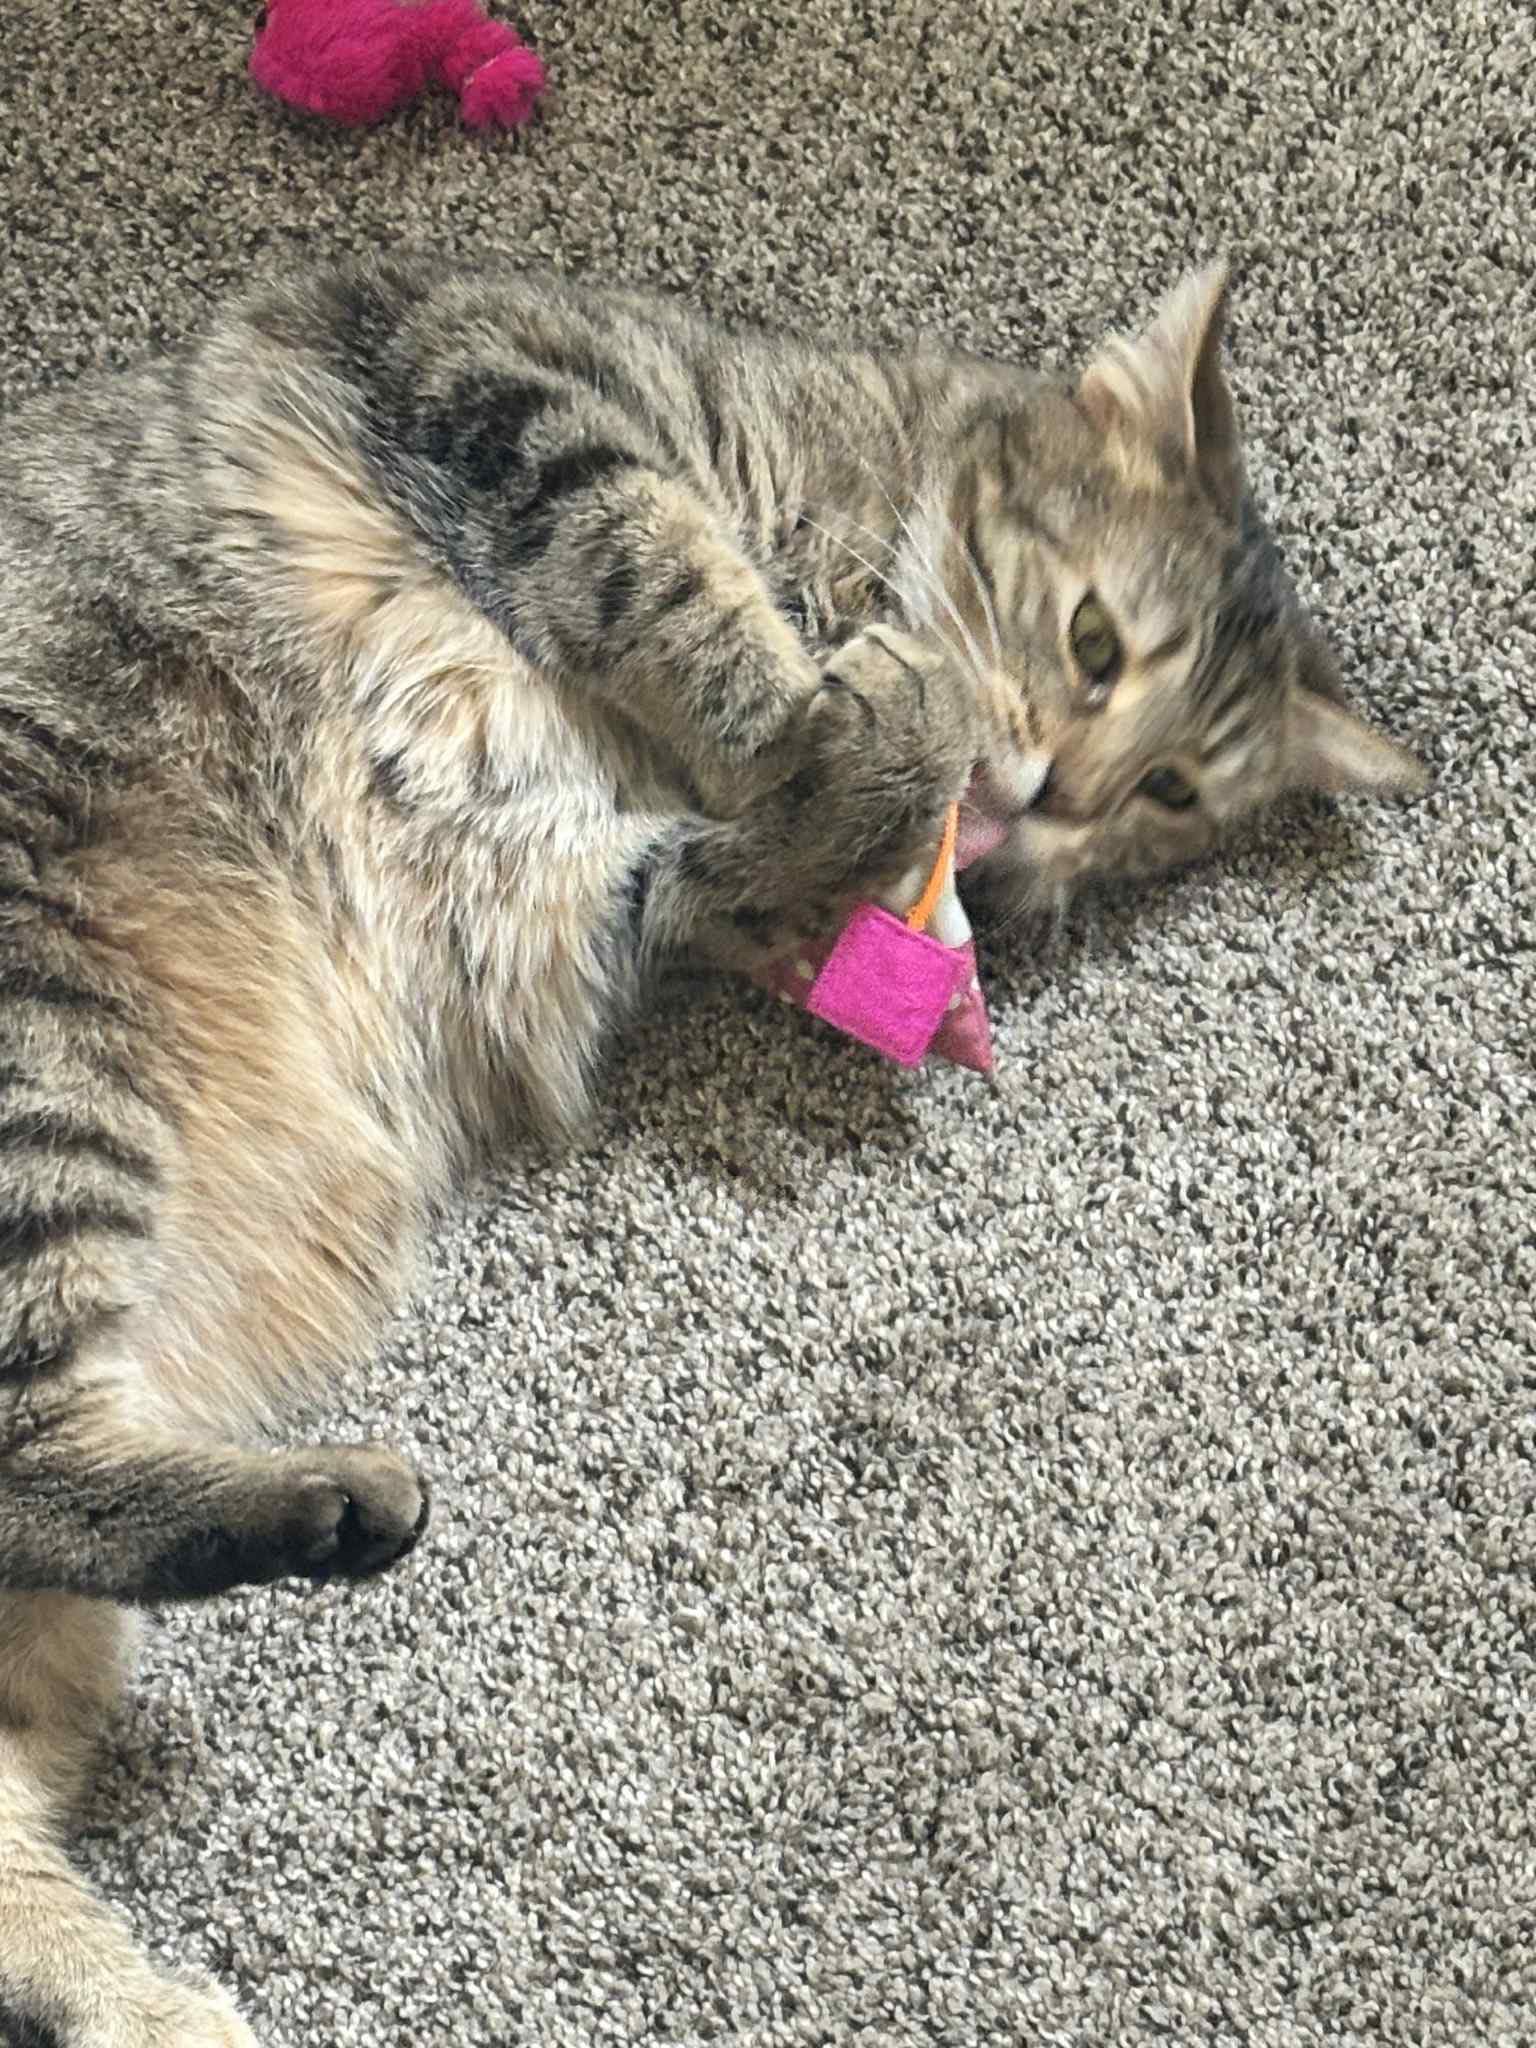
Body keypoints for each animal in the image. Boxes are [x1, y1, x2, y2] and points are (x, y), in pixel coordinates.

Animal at [0, 250, 1423, 2045]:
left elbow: (734, 852)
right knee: (24, 1459)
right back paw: (334, 1504)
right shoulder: (484, 357)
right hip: (50, 1040)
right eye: (1095, 641)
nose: (1051, 794)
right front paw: (860, 704)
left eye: (1166, 791)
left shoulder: (590, 897)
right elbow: (675, 580)